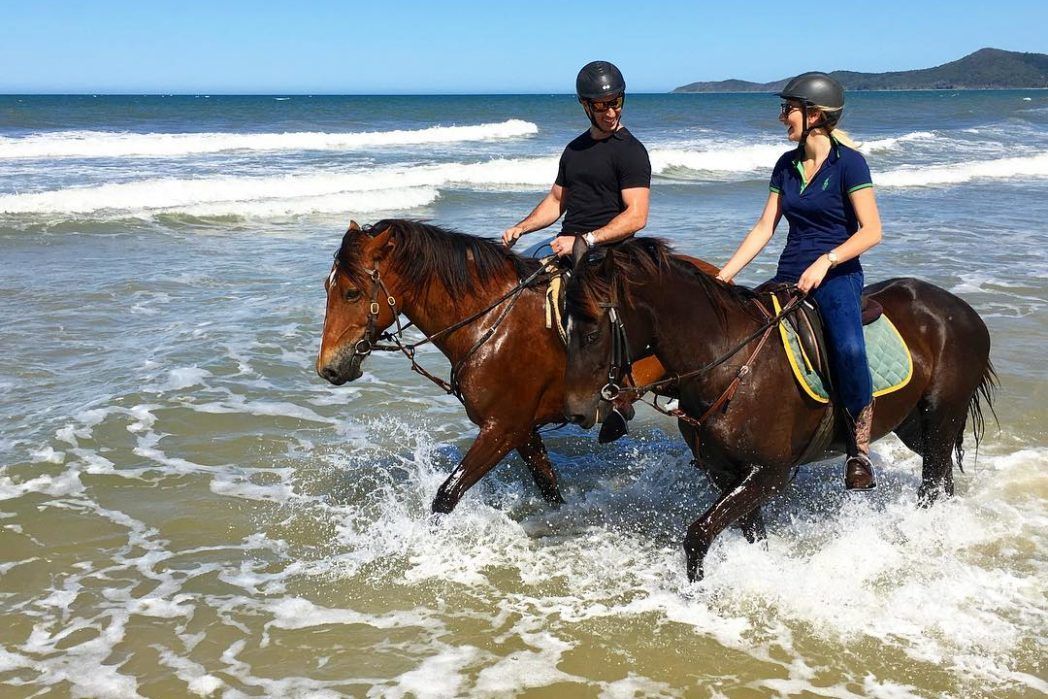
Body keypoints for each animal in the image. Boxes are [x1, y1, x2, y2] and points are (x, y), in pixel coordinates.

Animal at [316, 220, 720, 514]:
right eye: (327, 287)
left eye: (351, 293)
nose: (328, 368)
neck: (488, 322)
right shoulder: (523, 432)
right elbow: (549, 487)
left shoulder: (502, 429)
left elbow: (447, 495)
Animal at [562, 237, 996, 581]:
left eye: (593, 331)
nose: (577, 411)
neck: (728, 362)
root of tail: (963, 311)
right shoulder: (726, 473)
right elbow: (751, 534)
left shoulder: (770, 472)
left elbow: (698, 535)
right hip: (913, 424)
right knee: (942, 476)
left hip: (942, 416)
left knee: (932, 482)